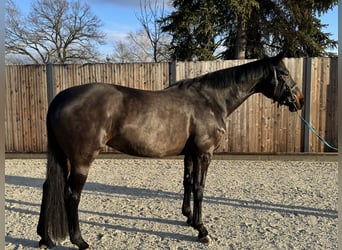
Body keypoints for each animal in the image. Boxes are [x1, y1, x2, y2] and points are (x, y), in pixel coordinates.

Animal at [37, 54, 304, 248]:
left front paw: (188, 218)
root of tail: (59, 98)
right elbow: (199, 188)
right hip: (82, 160)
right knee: (71, 196)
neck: (211, 100)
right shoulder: (204, 153)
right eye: (284, 73)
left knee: (49, 188)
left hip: (65, 158)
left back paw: (44, 238)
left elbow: (187, 182)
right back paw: (80, 241)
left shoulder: (190, 154)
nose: (299, 99)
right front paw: (202, 230)